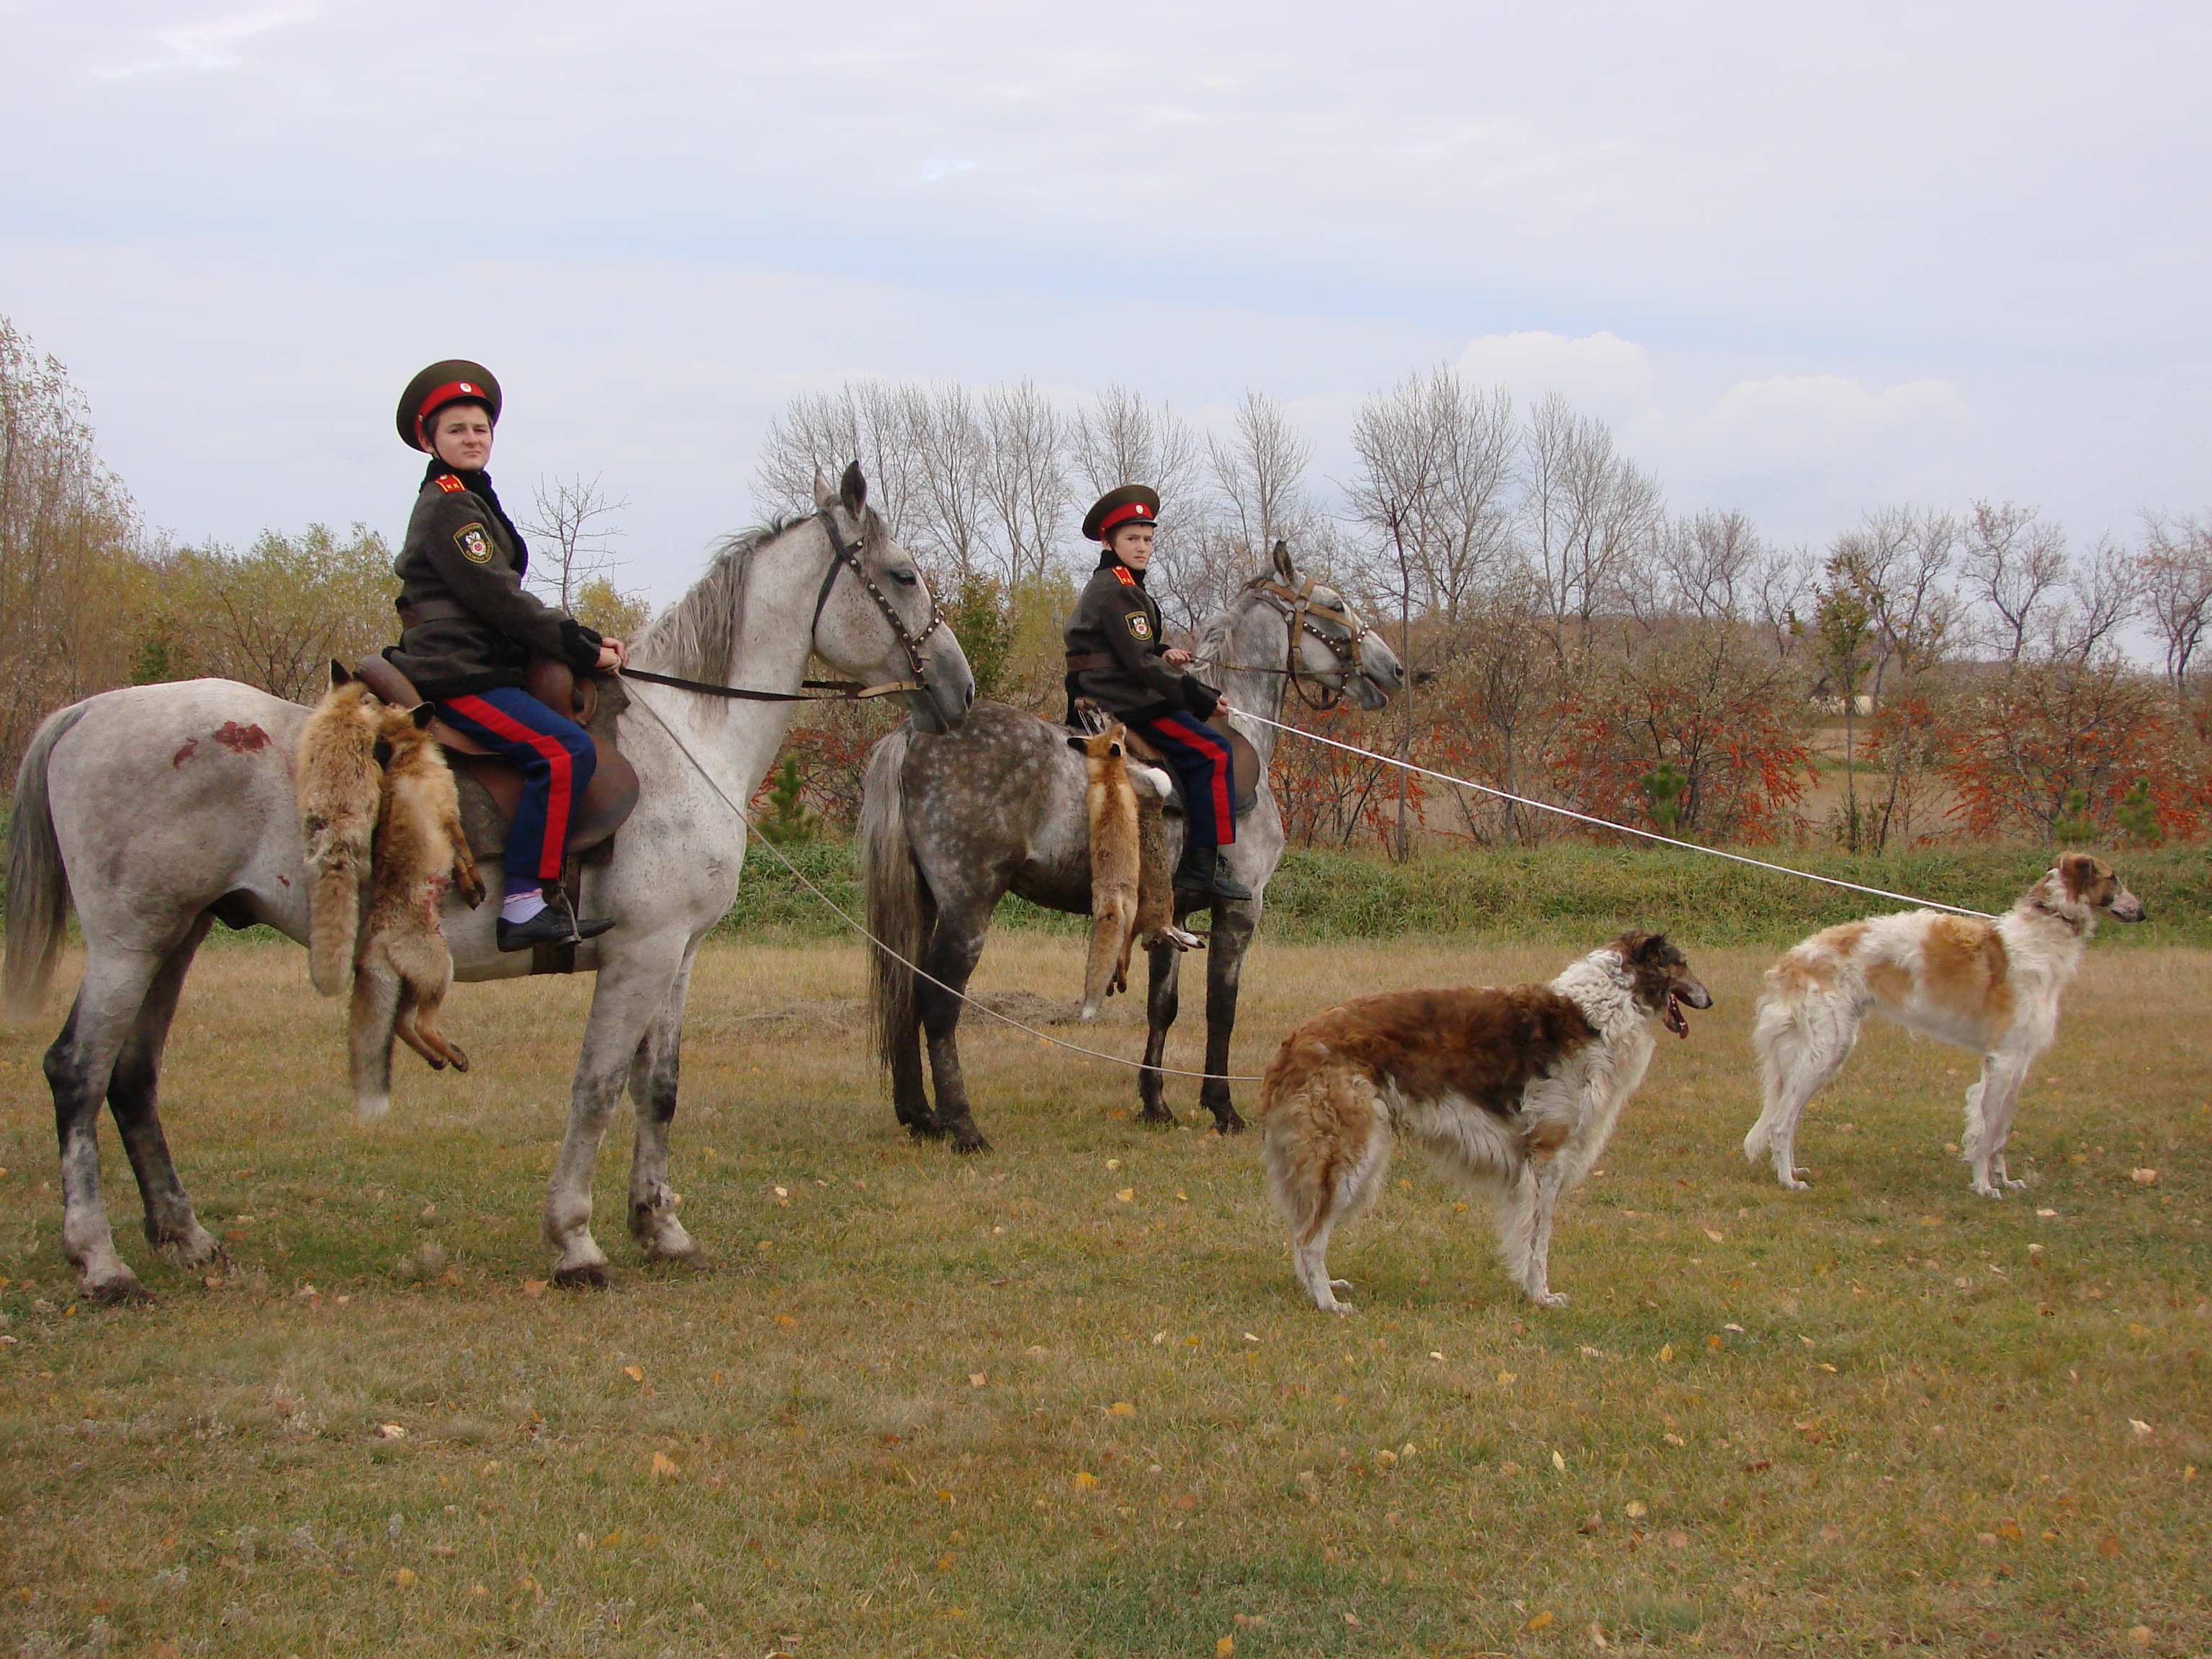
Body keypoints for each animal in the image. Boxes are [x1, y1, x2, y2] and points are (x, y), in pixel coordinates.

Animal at [4, 464, 968, 1300]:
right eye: (904, 575)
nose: (957, 691)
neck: (685, 732)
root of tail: (87, 711)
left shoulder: (677, 954)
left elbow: (656, 1090)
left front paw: (660, 1230)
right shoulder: (640, 954)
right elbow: (597, 1087)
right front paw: (576, 1242)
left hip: (178, 936)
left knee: (132, 1076)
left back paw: (188, 1239)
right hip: (129, 943)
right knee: (76, 1072)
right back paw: (100, 1264)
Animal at [858, 546, 1398, 1159]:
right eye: (1336, 605)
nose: (1394, 670)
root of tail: (915, 733)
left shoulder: (1172, 917)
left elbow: (1164, 1007)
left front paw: (1156, 1103)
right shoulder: (1240, 911)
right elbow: (1222, 1008)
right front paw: (1222, 1108)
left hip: (926, 903)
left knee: (904, 992)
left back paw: (919, 1116)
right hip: (968, 906)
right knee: (939, 1003)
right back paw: (963, 1127)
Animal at [1265, 938, 1707, 1309]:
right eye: (1684, 963)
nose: (1710, 999)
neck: (1597, 1014)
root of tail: (1296, 1042)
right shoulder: (1548, 1156)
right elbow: (1538, 1241)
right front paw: (1540, 1296)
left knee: (1304, 1234)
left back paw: (1322, 1288)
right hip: (1354, 1156)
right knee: (1309, 1239)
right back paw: (1328, 1303)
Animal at [1743, 858, 2141, 1194]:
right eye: (2114, 878)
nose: (2143, 912)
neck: (2040, 938)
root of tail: (1793, 959)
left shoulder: (2018, 1061)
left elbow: (1999, 1132)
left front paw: (2004, 1181)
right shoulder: (2003, 1059)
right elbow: (1987, 1132)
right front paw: (1984, 1187)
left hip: (1819, 1050)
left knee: (1786, 1117)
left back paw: (1791, 1170)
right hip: (1827, 1049)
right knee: (1781, 1123)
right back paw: (1788, 1181)